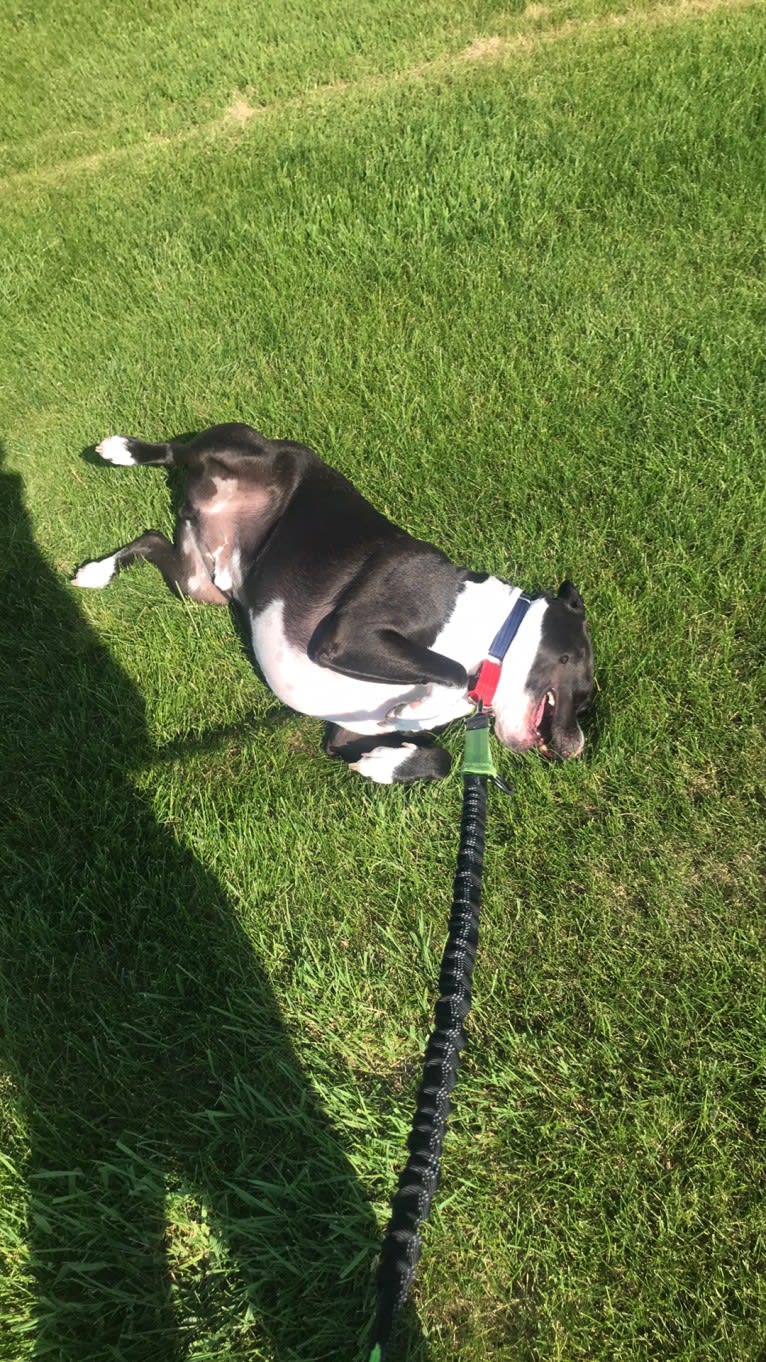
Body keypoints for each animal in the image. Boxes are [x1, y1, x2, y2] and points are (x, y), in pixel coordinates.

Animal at [70, 424, 591, 789]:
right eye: (585, 691)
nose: (576, 748)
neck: (491, 638)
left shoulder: (346, 731)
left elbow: (437, 756)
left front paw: (383, 764)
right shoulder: (347, 636)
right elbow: (450, 670)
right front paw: (429, 703)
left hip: (197, 583)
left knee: (153, 537)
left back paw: (98, 571)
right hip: (243, 449)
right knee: (178, 450)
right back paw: (123, 450)